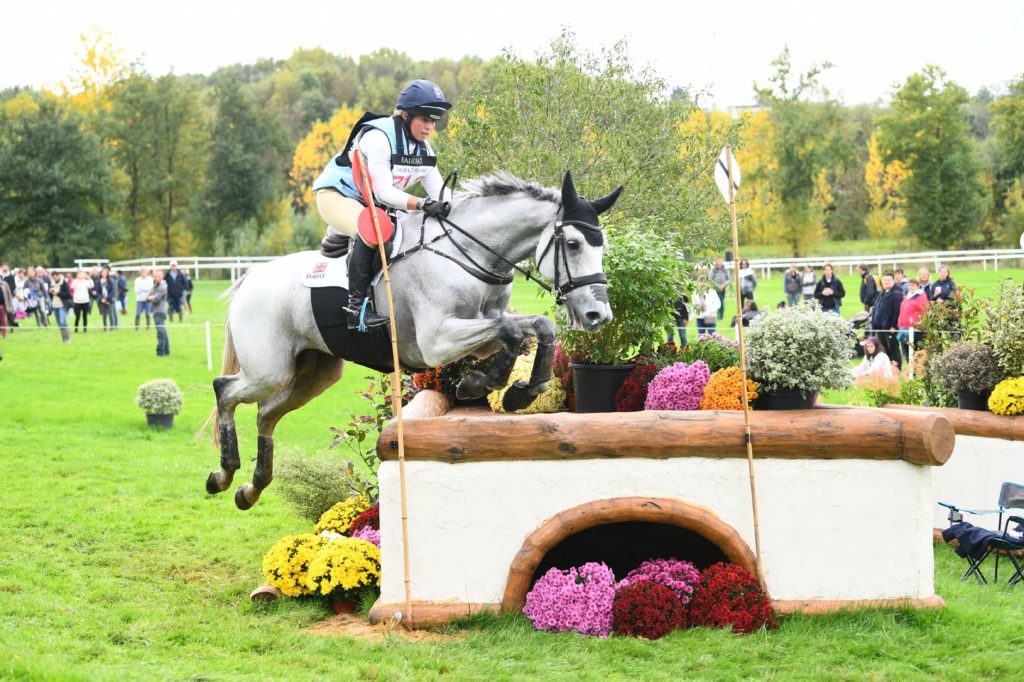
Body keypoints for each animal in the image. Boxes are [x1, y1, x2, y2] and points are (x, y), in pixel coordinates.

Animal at [206, 173, 618, 507]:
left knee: (265, 413)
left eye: (602, 246)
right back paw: (223, 474)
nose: (598, 315)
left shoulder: (481, 327)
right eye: (574, 244)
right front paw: (485, 384)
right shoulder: (437, 341)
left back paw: (250, 489)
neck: (467, 253)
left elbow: (533, 328)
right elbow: (512, 332)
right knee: (225, 390)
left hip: (315, 373)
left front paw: (514, 389)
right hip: (269, 370)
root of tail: (250, 278)